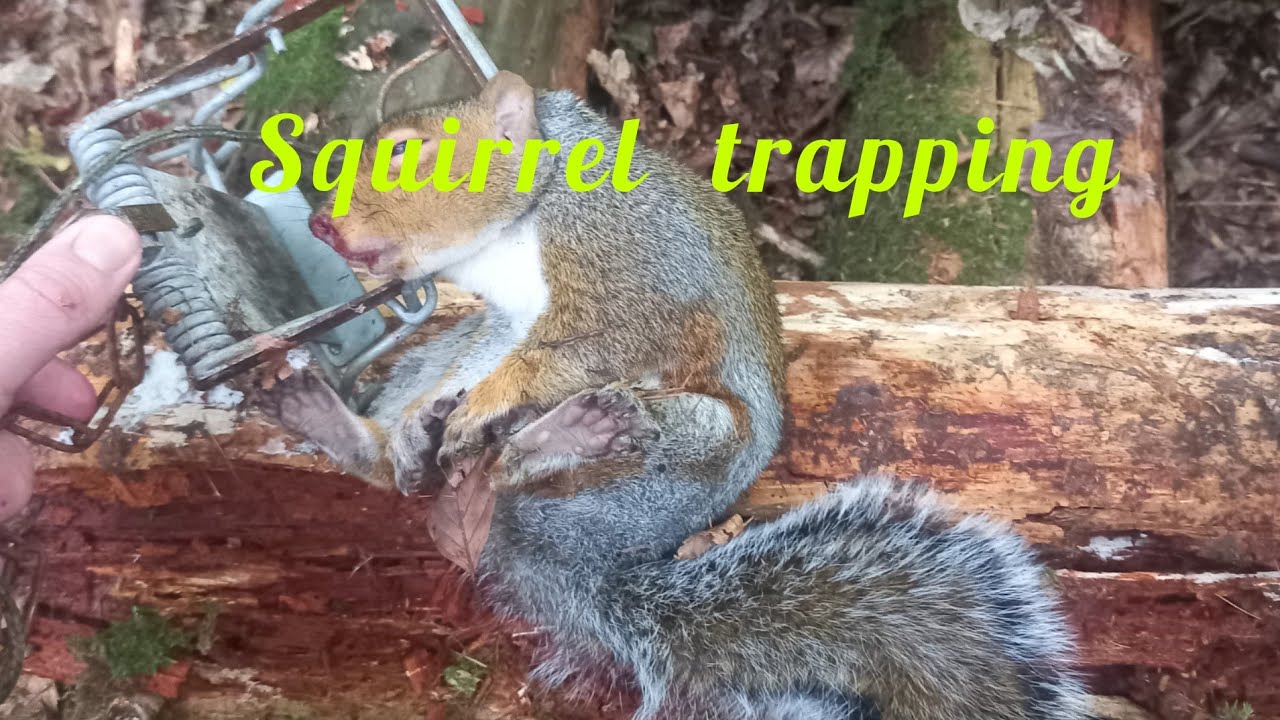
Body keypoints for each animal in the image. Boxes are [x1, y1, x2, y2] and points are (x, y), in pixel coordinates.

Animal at [262, 71, 1087, 719]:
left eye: (407, 151)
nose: (321, 223)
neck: (525, 217)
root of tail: (576, 554)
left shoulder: (629, 277)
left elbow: (581, 349)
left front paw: (495, 403)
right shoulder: (502, 321)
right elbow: (500, 356)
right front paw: (436, 419)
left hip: (690, 446)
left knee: (543, 457)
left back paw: (569, 432)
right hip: (438, 368)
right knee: (431, 461)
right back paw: (375, 433)